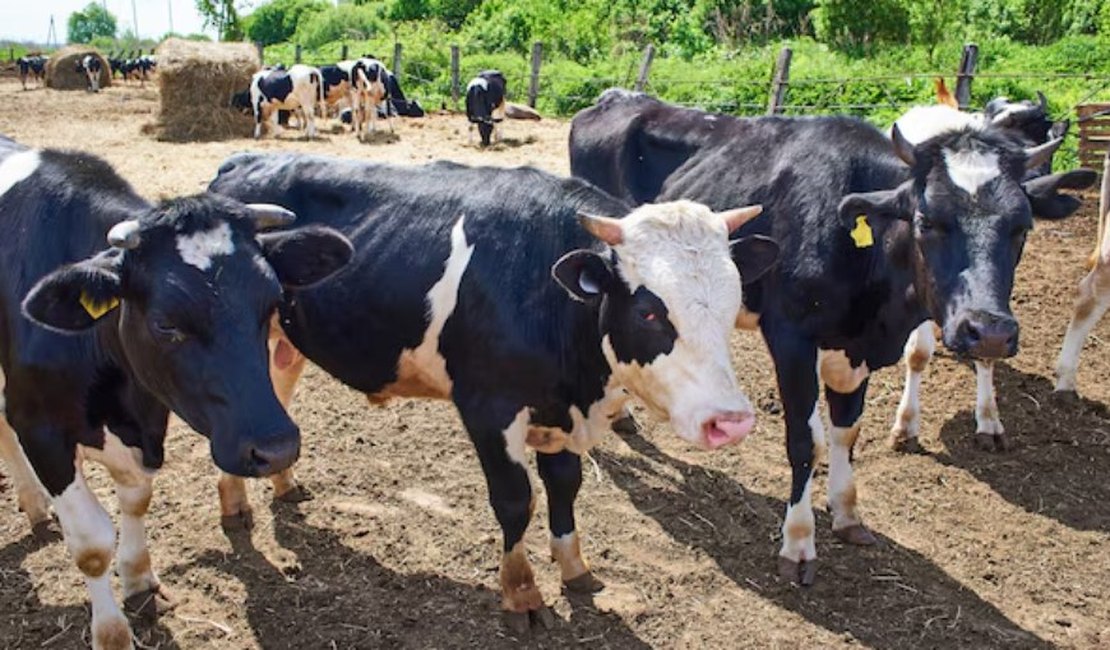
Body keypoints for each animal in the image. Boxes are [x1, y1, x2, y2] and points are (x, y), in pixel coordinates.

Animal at [0, 134, 350, 643]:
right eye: (166, 324)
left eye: (272, 302)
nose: (277, 448)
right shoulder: (40, 426)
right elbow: (91, 545)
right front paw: (112, 634)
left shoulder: (147, 420)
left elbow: (137, 499)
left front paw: (139, 579)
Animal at [208, 151, 781, 625]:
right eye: (648, 311)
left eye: (733, 303)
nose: (731, 421)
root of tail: (242, 161)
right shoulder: (488, 407)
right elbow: (514, 499)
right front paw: (522, 593)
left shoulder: (556, 411)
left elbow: (565, 485)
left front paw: (573, 567)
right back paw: (235, 506)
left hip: (288, 344)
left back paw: (282, 484)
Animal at [568, 89, 1096, 581]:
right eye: (927, 220)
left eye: (1022, 226)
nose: (987, 331)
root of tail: (615, 98)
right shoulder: (791, 339)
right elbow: (805, 441)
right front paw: (798, 543)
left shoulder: (855, 348)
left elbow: (847, 430)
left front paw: (846, 512)